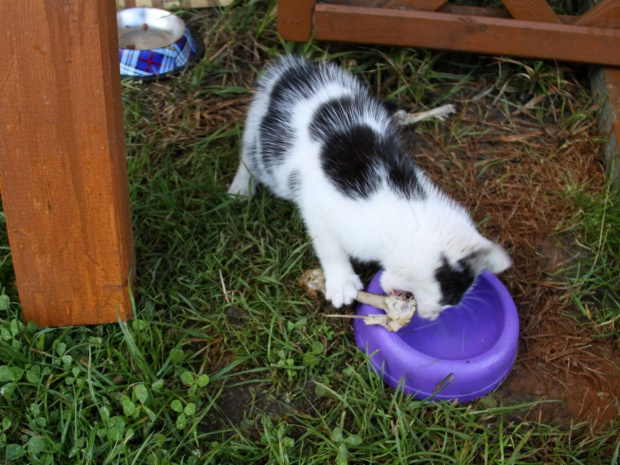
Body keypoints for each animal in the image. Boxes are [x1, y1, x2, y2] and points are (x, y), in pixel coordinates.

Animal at [228, 55, 508, 320]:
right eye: (449, 295)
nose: (430, 317)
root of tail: (292, 70)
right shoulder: (317, 205)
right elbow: (328, 244)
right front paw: (341, 281)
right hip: (266, 144)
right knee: (248, 150)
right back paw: (241, 187)